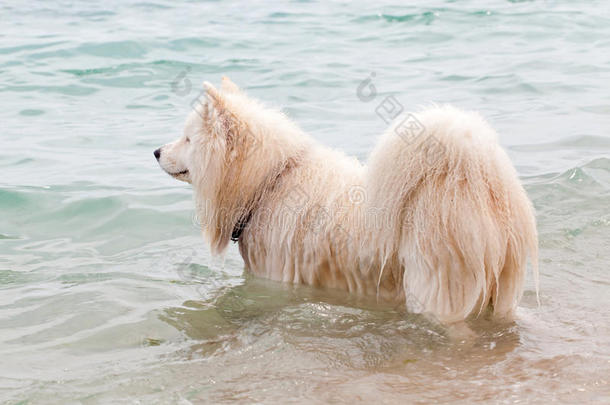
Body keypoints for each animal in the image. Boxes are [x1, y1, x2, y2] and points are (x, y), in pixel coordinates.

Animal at [153, 76, 536, 326]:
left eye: (187, 139)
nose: (155, 151)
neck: (268, 183)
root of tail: (475, 181)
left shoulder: (274, 280)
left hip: (434, 287)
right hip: (498, 294)